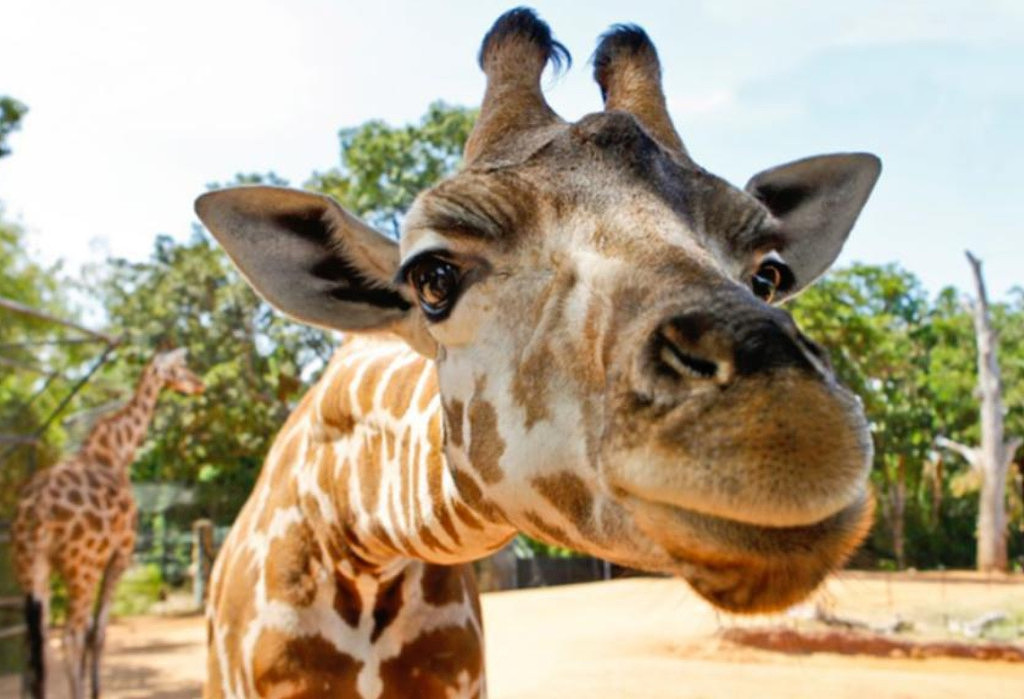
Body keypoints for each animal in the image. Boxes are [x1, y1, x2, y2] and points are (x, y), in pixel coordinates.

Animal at [11, 347, 203, 699]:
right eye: (180, 367)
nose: (199, 384)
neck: (117, 451)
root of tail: (35, 512)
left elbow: (89, 631)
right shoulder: (120, 554)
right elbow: (97, 631)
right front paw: (95, 691)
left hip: (32, 566)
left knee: (38, 638)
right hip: (78, 567)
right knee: (68, 635)